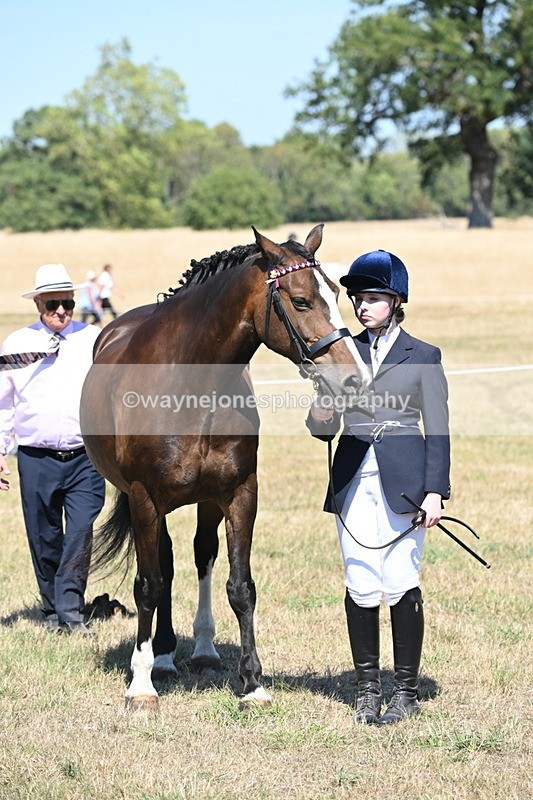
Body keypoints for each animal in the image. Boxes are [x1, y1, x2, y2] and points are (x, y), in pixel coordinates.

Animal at [80, 224, 369, 710]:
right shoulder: (143, 497)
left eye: (336, 294)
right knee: (164, 567)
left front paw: (252, 683)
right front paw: (141, 686)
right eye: (301, 301)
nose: (354, 379)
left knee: (200, 555)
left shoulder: (238, 494)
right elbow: (148, 584)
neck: (191, 385)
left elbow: (240, 586)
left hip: (205, 502)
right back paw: (161, 657)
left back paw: (200, 649)